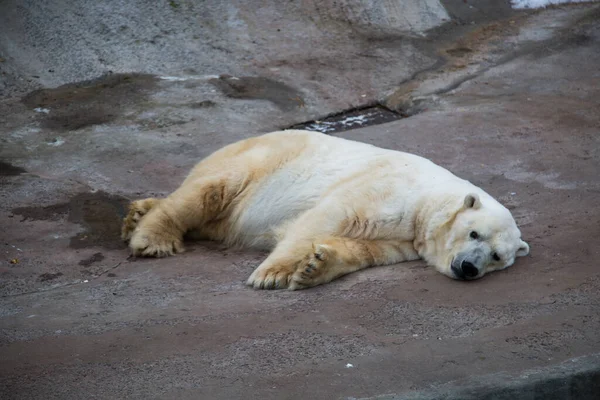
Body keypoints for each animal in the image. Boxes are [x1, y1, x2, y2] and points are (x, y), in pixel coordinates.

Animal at [122, 130, 528, 290]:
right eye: (473, 232)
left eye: (496, 256)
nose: (469, 267)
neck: (427, 199)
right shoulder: (386, 189)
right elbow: (327, 217)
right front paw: (271, 274)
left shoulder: (404, 239)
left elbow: (366, 249)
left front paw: (314, 267)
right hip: (258, 161)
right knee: (210, 191)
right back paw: (152, 235)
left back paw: (137, 214)